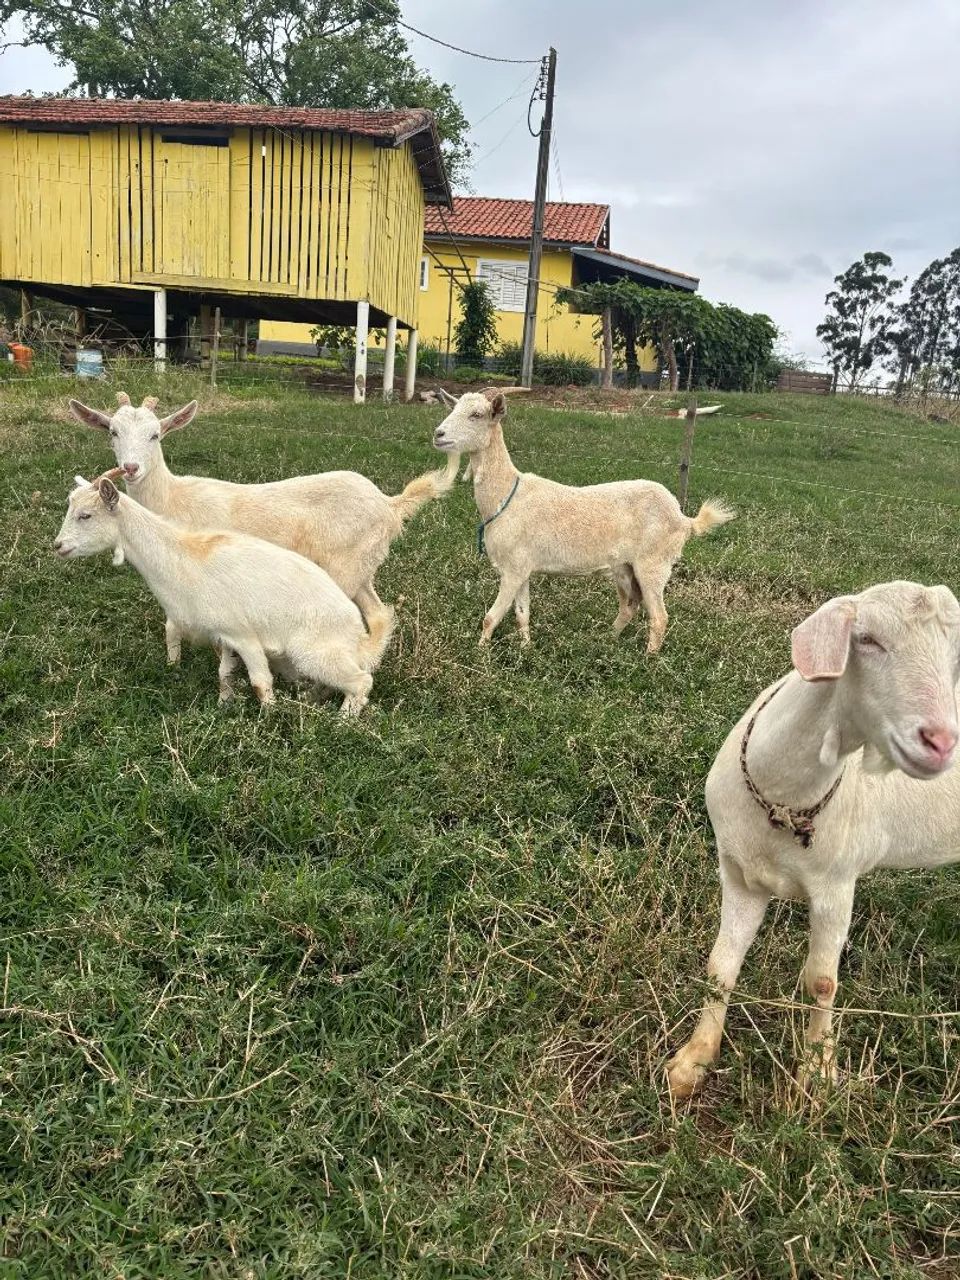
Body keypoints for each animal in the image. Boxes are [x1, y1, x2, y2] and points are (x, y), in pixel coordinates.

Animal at [54, 472, 395, 715]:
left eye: (85, 515)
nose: (57, 546)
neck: (182, 558)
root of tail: (358, 638)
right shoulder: (225, 636)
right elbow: (224, 675)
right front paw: (223, 705)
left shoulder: (243, 635)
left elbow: (260, 683)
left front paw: (268, 720)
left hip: (315, 653)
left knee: (361, 682)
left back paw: (342, 720)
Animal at [69, 394, 457, 662]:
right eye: (112, 432)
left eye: (156, 435)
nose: (131, 468)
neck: (173, 498)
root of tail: (390, 505)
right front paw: (173, 664)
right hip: (360, 567)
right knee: (377, 613)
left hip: (344, 567)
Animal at [432, 388, 733, 650]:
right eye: (454, 408)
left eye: (477, 415)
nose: (438, 434)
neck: (507, 495)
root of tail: (684, 519)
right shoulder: (522, 568)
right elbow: (522, 613)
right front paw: (526, 649)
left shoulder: (513, 568)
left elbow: (491, 617)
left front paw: (481, 653)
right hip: (625, 568)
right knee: (630, 606)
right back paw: (607, 641)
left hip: (654, 564)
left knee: (659, 617)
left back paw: (649, 661)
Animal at [668, 581, 960, 1098]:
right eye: (867, 640)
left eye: (954, 655)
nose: (941, 742)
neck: (783, 801)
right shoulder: (739, 874)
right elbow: (721, 964)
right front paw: (692, 1062)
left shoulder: (836, 884)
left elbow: (822, 981)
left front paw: (817, 1073)